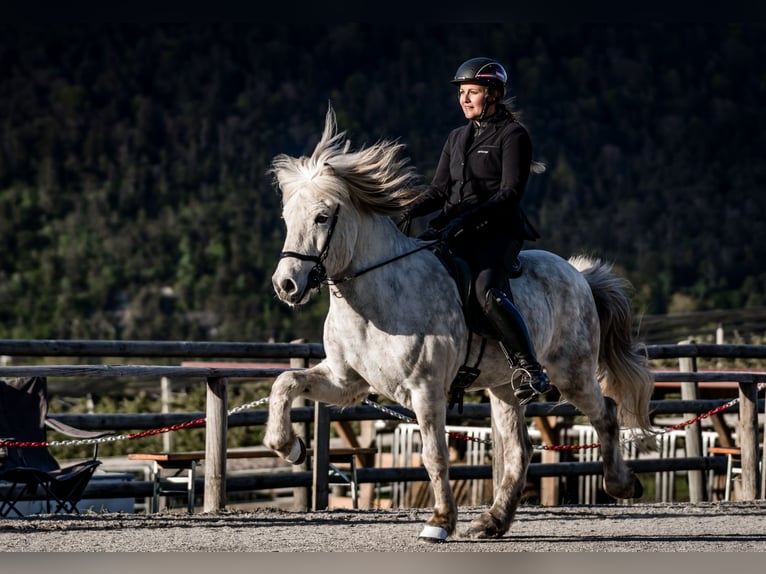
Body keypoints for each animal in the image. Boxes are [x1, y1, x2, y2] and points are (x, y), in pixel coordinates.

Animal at [264, 104, 656, 544]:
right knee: (520, 450)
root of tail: (579, 275)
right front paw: (289, 446)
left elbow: (434, 454)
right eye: (287, 217)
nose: (286, 285)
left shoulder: (426, 389)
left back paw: (621, 484)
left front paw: (439, 521)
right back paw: (492, 521)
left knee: (605, 412)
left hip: (571, 373)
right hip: (505, 387)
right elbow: (285, 383)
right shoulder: (347, 382)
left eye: (321, 217)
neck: (372, 301)